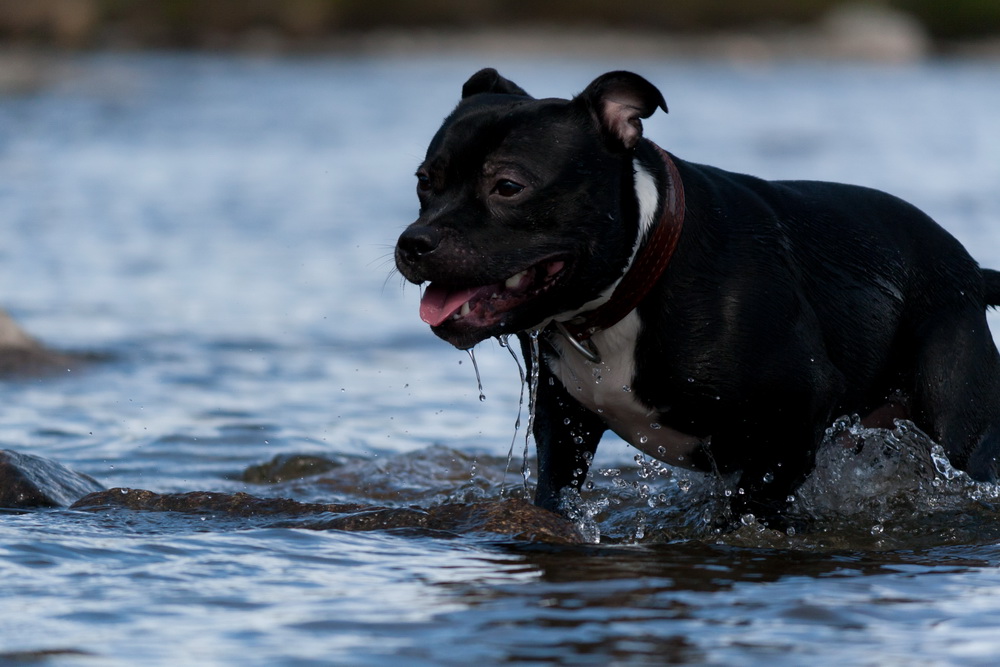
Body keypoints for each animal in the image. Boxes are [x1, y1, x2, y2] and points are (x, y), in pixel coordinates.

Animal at [394, 69, 996, 528]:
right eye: (425, 181)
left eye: (508, 187)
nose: (413, 242)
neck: (632, 282)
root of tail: (968, 269)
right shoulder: (564, 425)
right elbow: (556, 492)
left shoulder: (798, 413)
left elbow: (750, 503)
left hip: (960, 422)